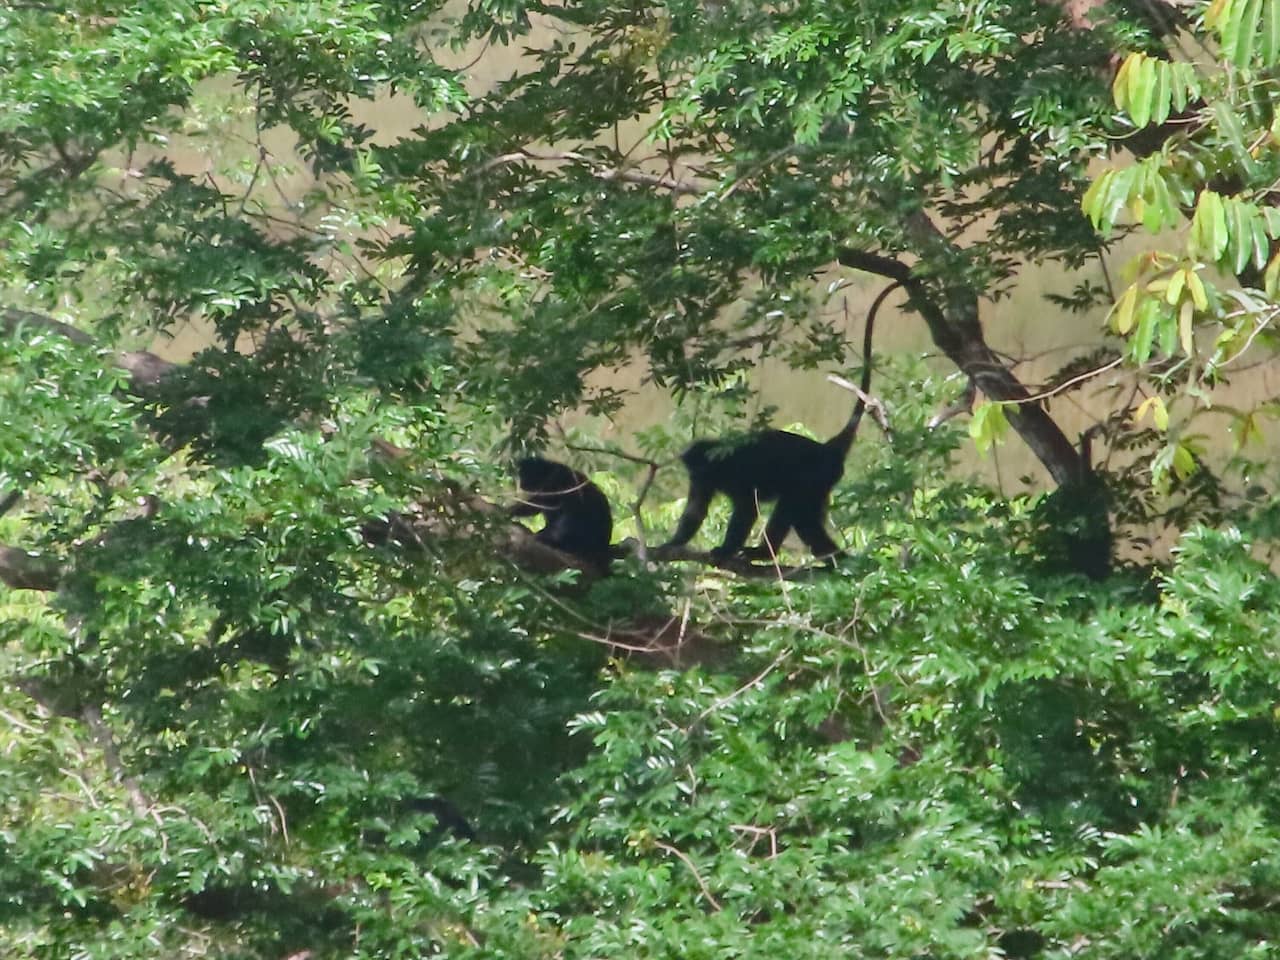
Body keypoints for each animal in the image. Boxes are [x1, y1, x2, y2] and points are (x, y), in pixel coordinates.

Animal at [660, 281, 890, 563]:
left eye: (701, 469)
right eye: (693, 472)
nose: (697, 477)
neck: (717, 460)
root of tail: (826, 449)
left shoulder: (735, 471)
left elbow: (747, 509)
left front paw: (725, 550)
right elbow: (696, 510)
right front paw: (672, 543)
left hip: (816, 476)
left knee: (795, 509)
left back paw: (775, 553)